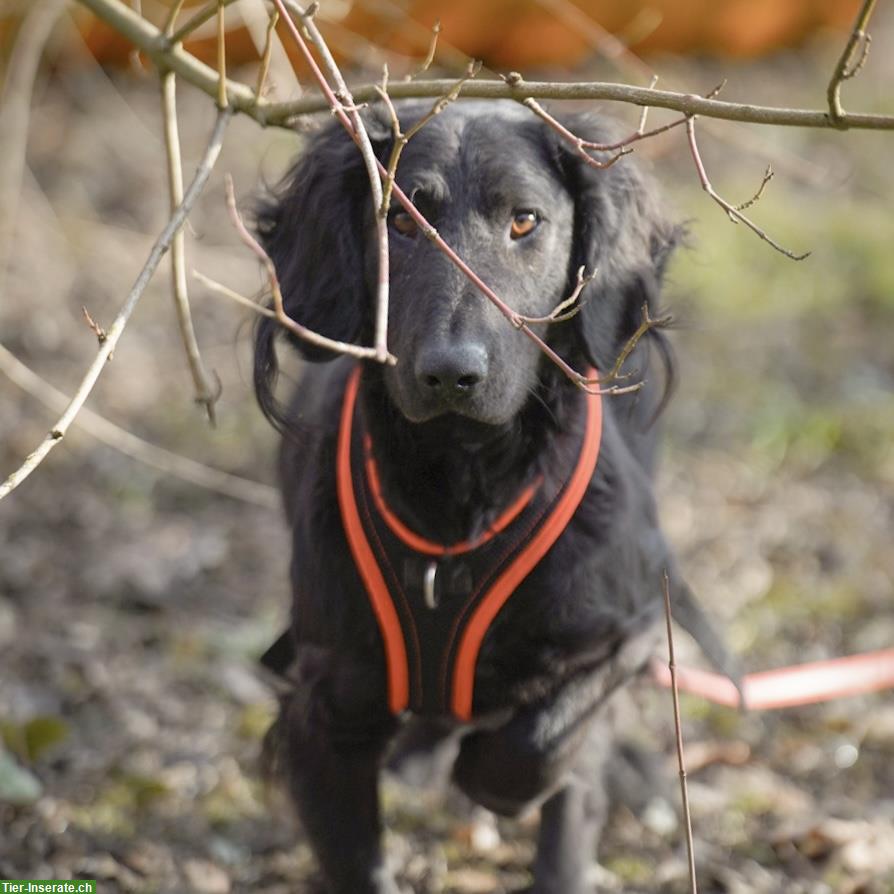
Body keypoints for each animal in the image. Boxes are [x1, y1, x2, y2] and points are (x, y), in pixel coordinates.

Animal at [254, 101, 744, 892]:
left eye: (524, 221)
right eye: (399, 221)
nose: (451, 374)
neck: (462, 491)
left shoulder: (626, 632)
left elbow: (543, 743)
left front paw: (491, 775)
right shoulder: (324, 709)